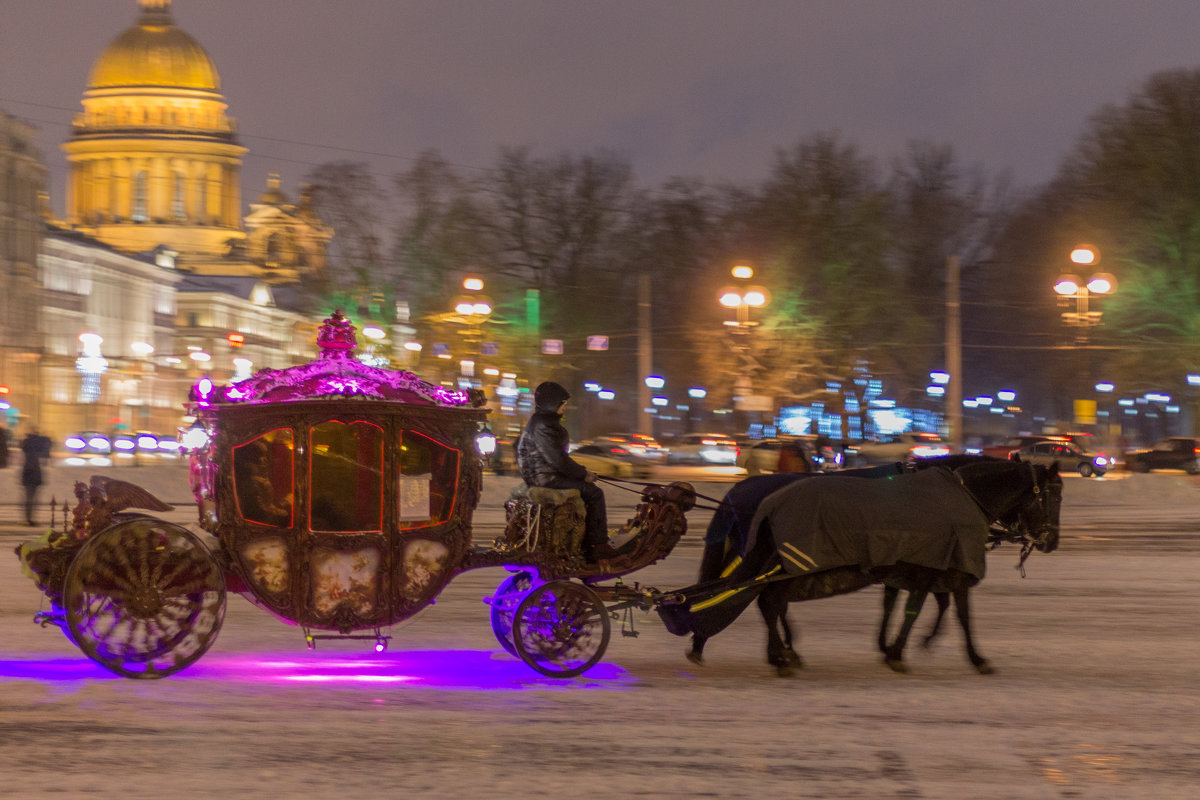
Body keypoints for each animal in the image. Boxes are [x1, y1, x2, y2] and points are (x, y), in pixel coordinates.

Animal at [672, 455, 1065, 676]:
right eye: (1053, 496)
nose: (1051, 542)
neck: (960, 495)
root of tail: (743, 492)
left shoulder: (925, 567)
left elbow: (939, 609)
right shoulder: (930, 567)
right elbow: (920, 609)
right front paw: (900, 651)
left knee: (767, 602)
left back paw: (773, 653)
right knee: (767, 602)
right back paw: (779, 654)